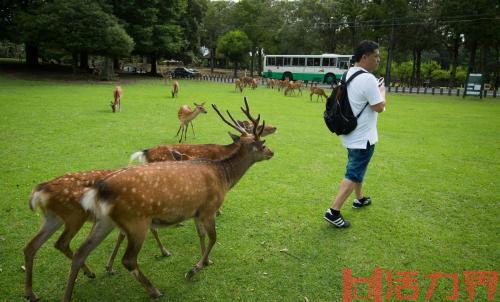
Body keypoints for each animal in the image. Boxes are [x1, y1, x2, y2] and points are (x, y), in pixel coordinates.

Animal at [23, 170, 176, 302]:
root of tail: (39, 190)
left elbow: (122, 236)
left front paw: (109, 267)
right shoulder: (139, 215)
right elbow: (151, 231)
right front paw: (165, 252)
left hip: (52, 218)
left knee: (31, 246)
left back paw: (31, 293)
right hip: (75, 216)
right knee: (62, 243)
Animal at [62, 98, 274, 300]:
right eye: (263, 144)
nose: (272, 152)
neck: (224, 176)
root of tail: (99, 190)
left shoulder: (197, 211)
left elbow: (201, 235)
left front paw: (206, 261)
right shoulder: (209, 207)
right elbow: (214, 237)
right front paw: (194, 269)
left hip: (105, 221)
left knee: (81, 252)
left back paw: (75, 289)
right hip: (136, 221)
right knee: (128, 259)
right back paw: (154, 290)